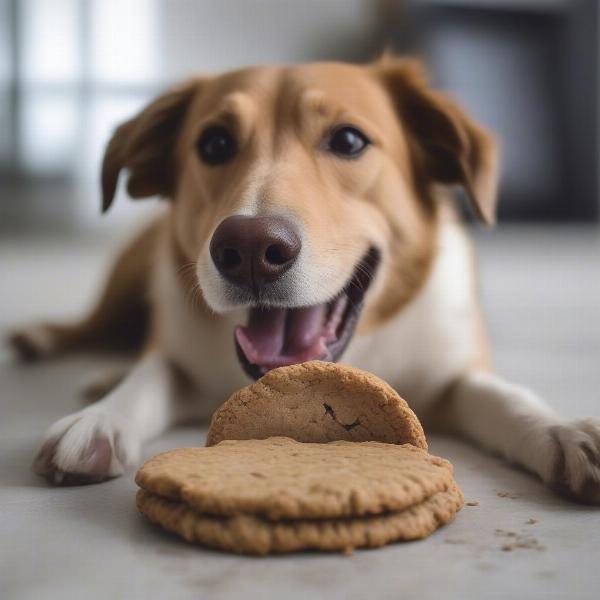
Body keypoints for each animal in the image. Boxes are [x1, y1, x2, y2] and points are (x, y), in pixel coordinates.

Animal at [9, 57, 600, 502]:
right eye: (214, 144)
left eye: (349, 140)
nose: (248, 249)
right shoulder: (178, 354)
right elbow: (151, 376)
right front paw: (99, 419)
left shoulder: (453, 373)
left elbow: (502, 396)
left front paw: (561, 430)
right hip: (128, 271)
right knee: (93, 326)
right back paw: (55, 347)